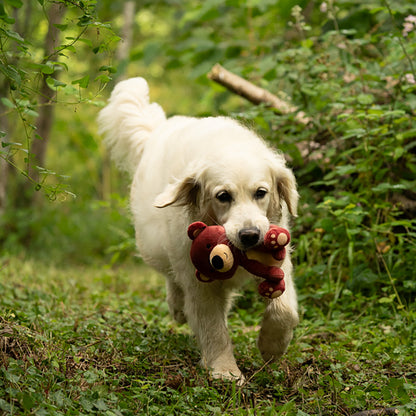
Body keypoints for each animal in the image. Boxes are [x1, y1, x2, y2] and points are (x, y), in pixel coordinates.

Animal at [97, 78, 300, 384]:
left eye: (261, 193)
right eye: (223, 196)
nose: (250, 236)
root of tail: (159, 129)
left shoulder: (279, 261)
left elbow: (284, 309)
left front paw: (272, 345)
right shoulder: (197, 279)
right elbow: (212, 326)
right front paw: (225, 370)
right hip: (154, 244)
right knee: (171, 277)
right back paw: (178, 306)